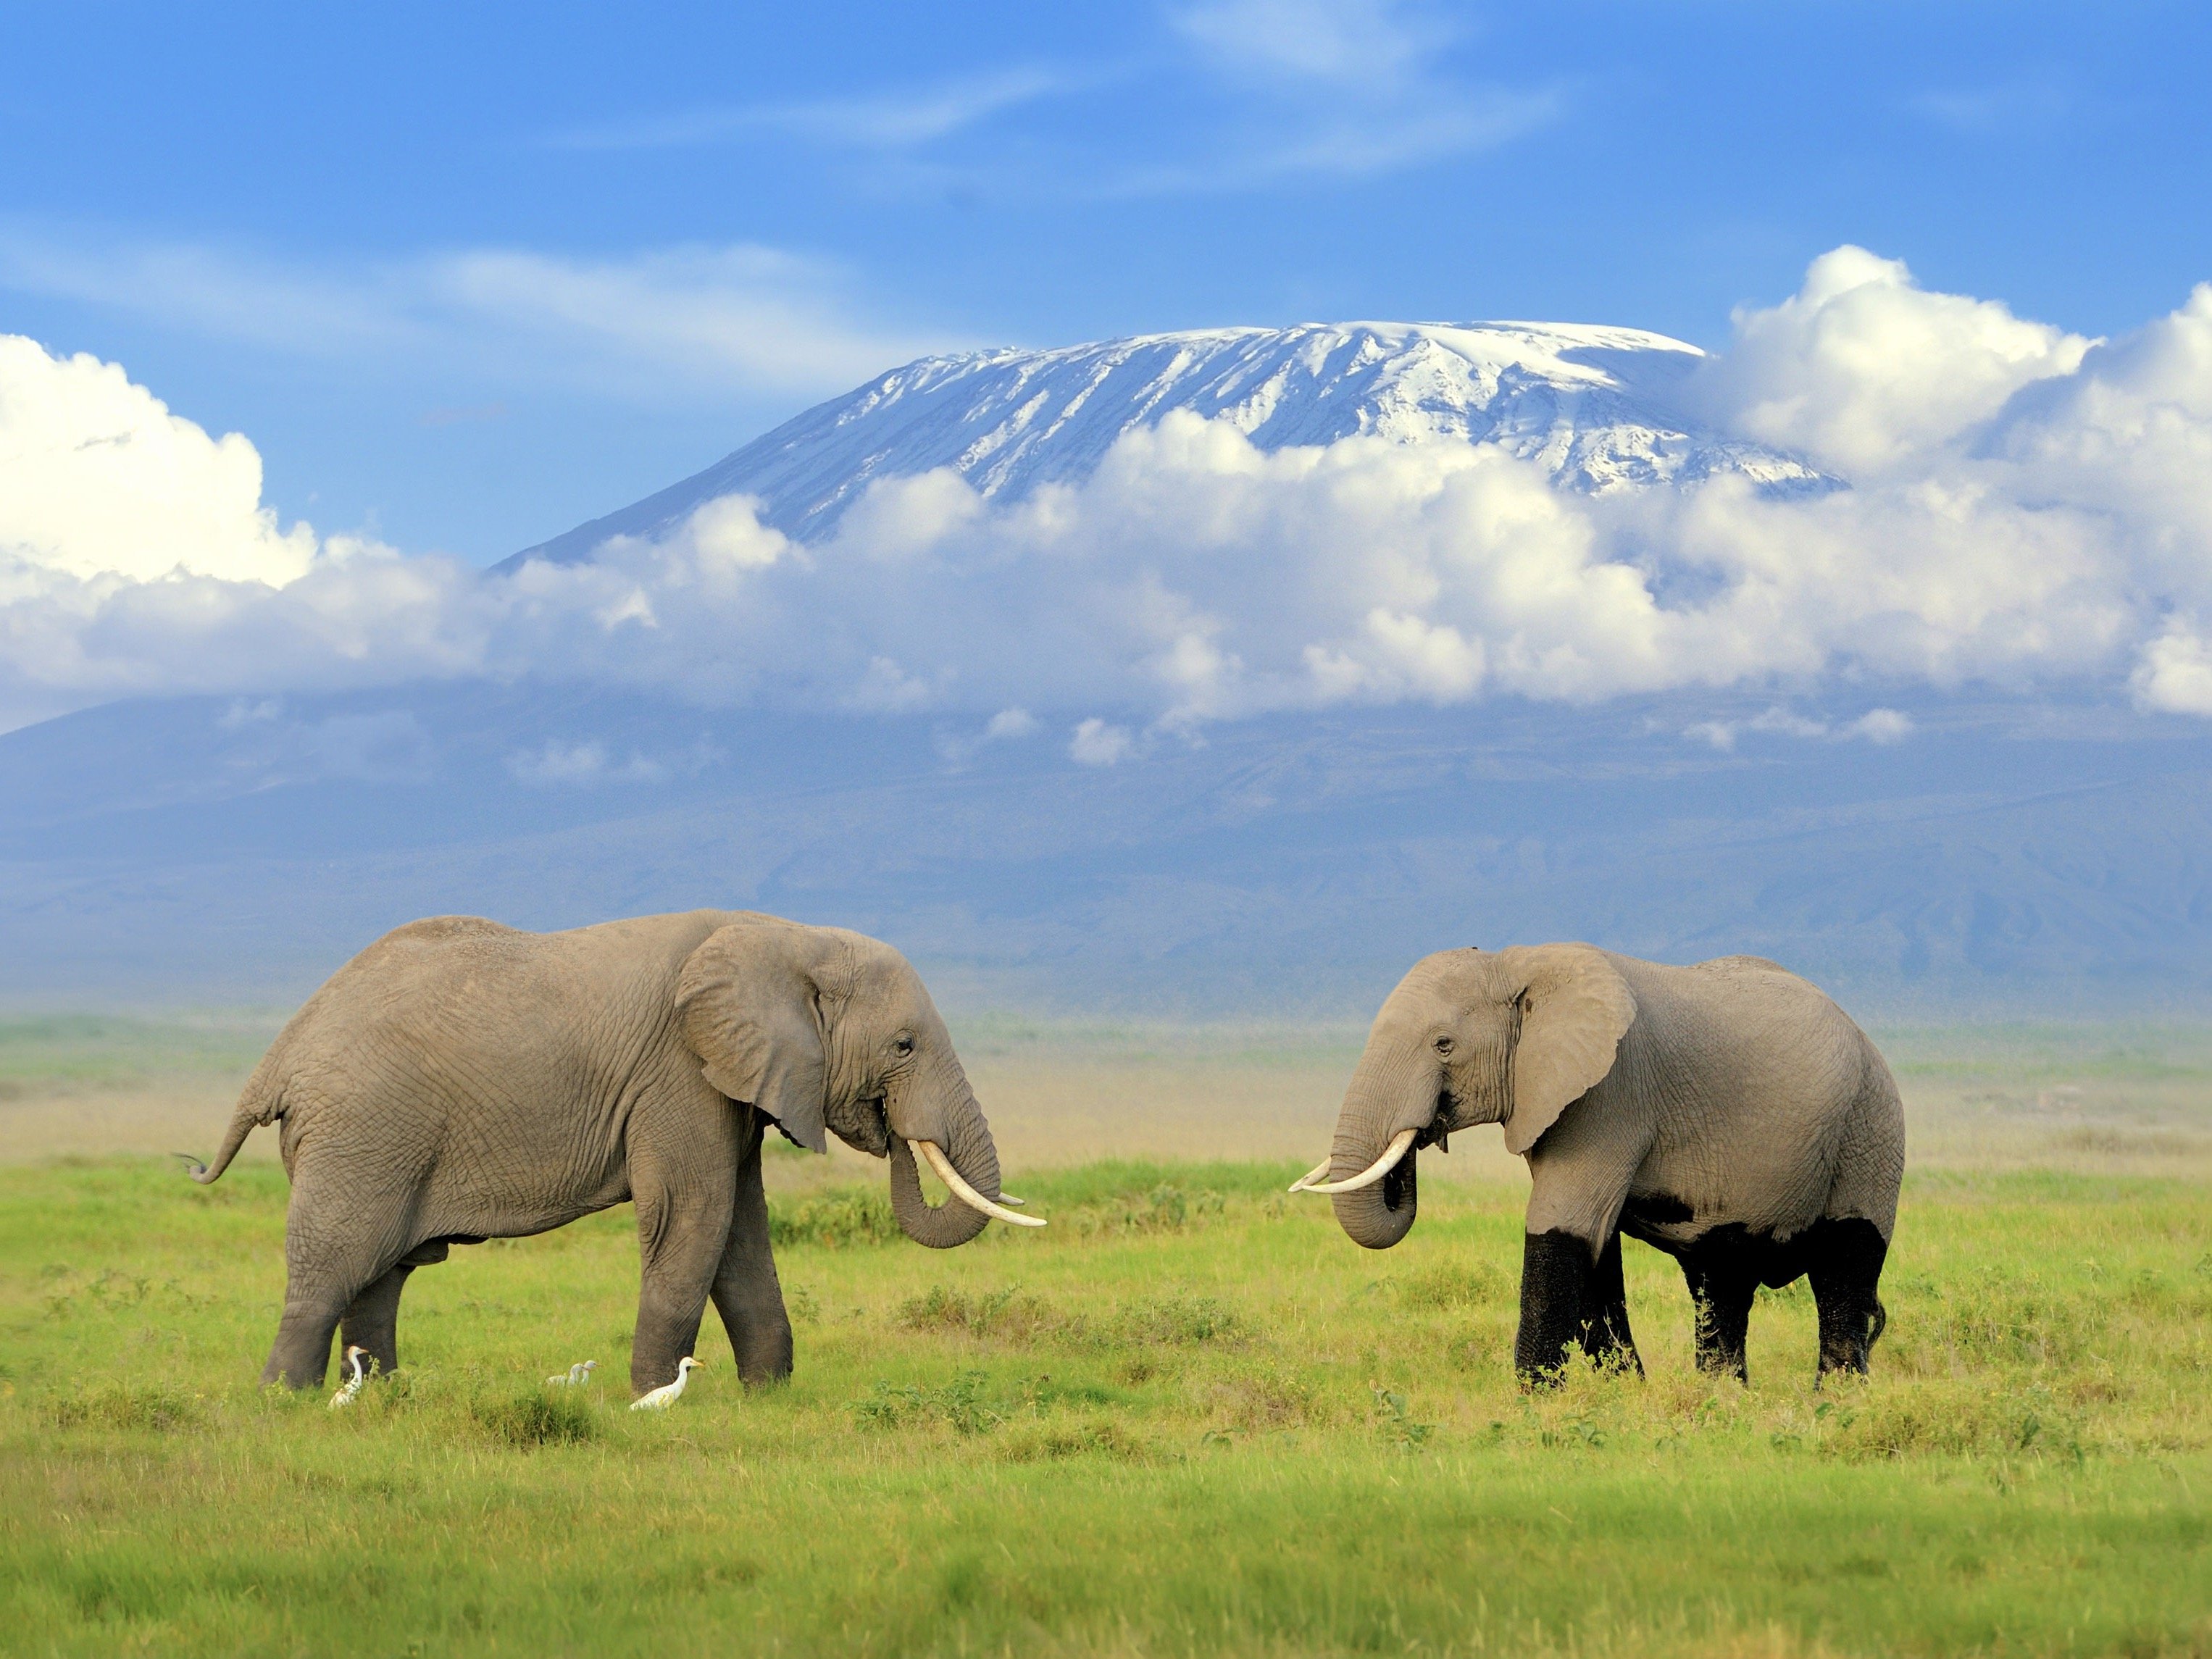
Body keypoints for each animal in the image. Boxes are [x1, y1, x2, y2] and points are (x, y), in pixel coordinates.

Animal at [181, 916, 1035, 1397]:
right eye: (904, 1045)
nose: (891, 1129)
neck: (788, 936)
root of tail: (279, 1055)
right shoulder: (678, 1074)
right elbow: (693, 1217)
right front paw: (654, 1398)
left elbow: (740, 1229)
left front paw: (769, 1399)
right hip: (362, 1132)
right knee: (334, 1265)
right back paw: (285, 1402)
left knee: (382, 1274)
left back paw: (386, 1396)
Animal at [1291, 946, 1902, 1389]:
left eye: (1443, 1045)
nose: (1423, 1133)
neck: (1517, 962)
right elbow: (1595, 1249)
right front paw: (1626, 1395)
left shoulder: (1610, 1094)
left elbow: (1563, 1226)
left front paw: (1536, 1404)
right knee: (1720, 1284)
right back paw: (1723, 1399)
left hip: (1870, 1129)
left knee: (1844, 1268)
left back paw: (1835, 1402)